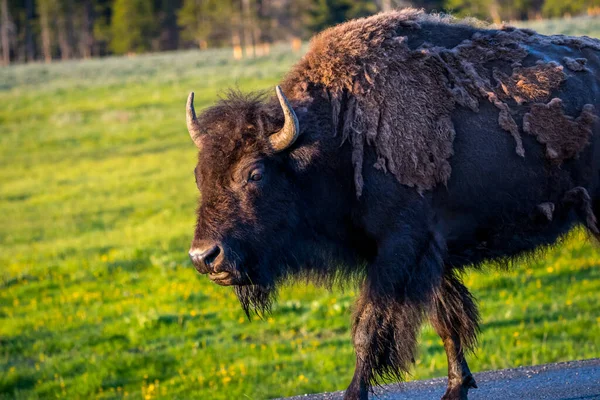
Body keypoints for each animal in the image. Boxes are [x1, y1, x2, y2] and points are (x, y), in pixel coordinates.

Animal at [185, 8, 596, 400]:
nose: (204, 256)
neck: (334, 139)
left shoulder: (401, 248)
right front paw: (455, 386)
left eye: (254, 174)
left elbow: (368, 329)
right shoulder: (427, 254)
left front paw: (354, 394)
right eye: (198, 174)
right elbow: (446, 321)